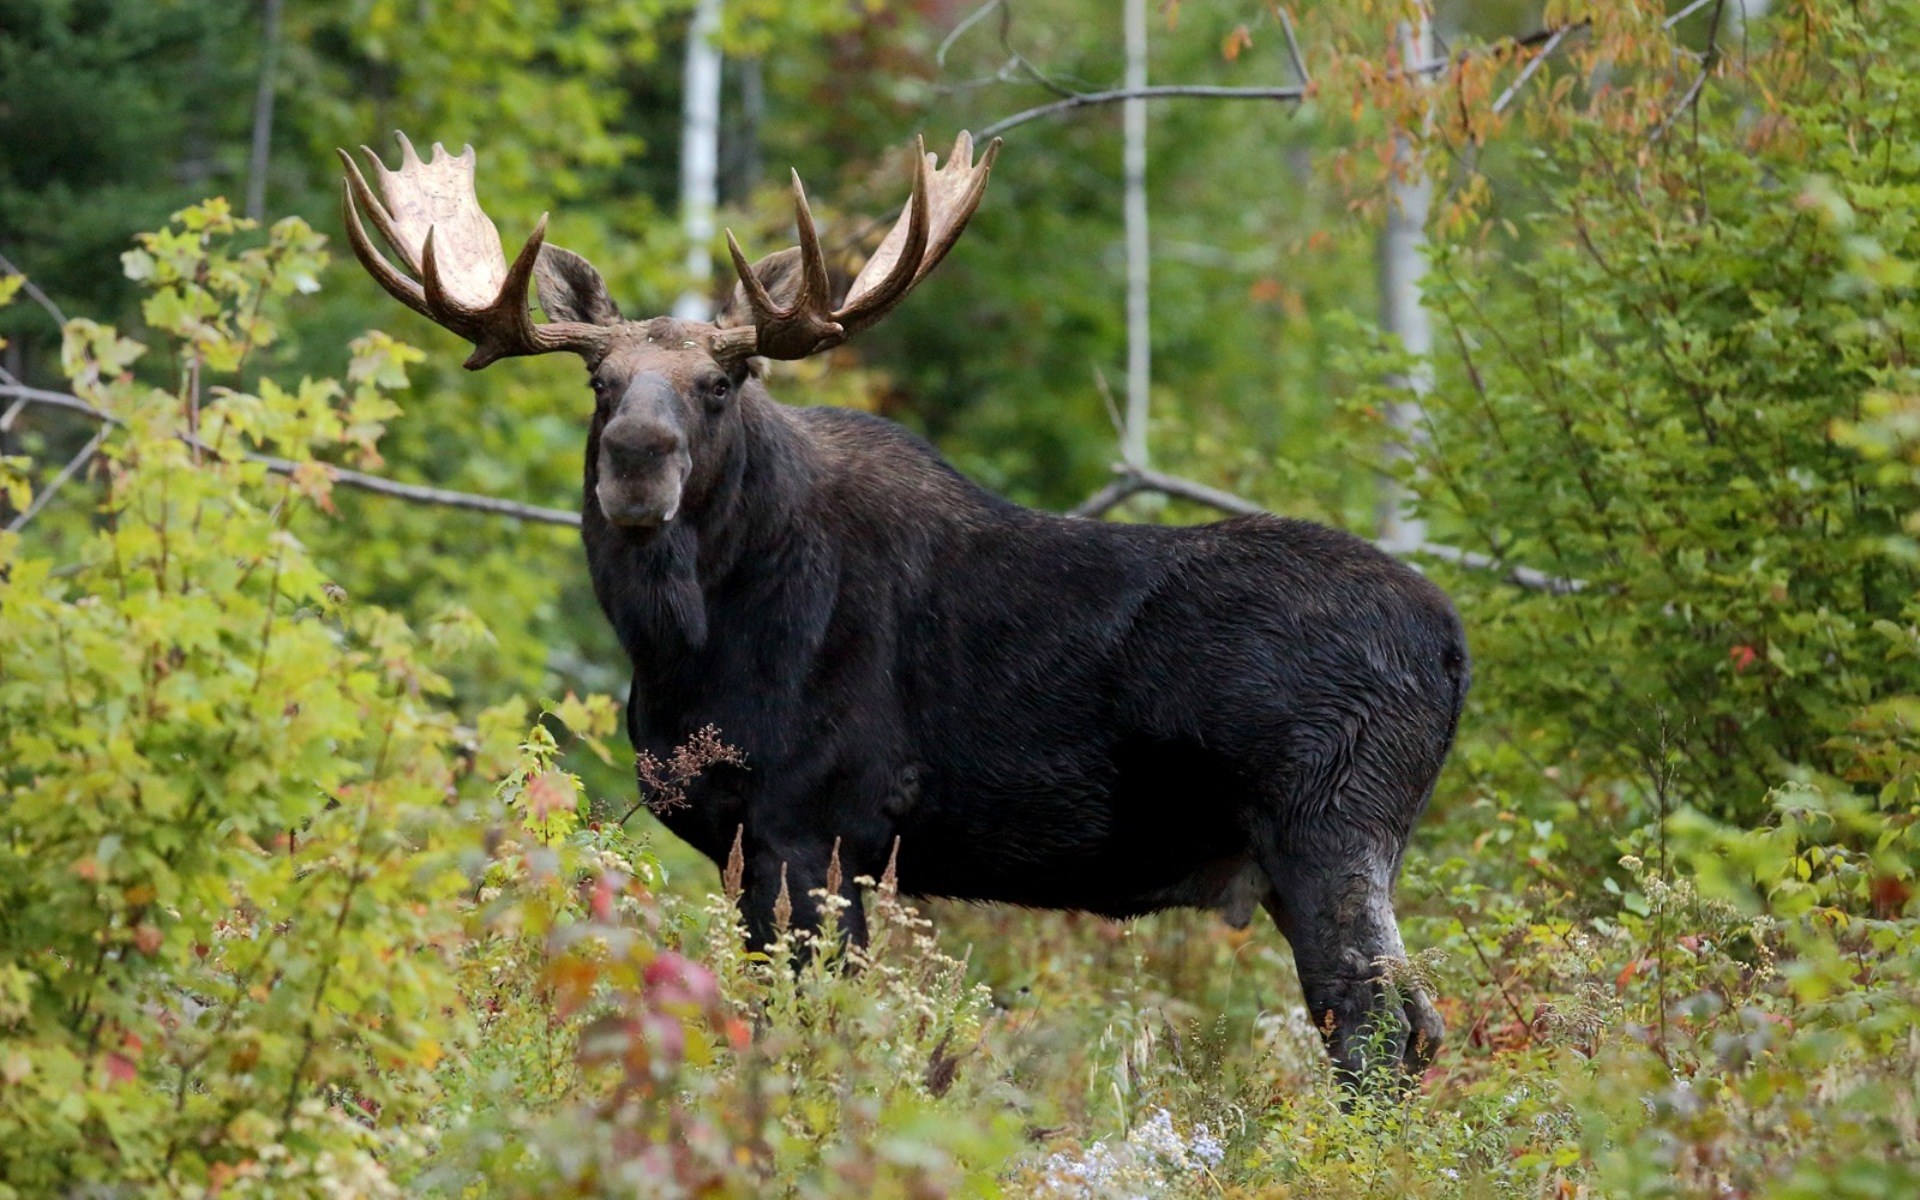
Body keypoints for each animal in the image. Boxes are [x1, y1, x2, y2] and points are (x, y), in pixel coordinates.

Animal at [337, 130, 1466, 1075]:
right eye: (598, 383)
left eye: (724, 382)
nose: (636, 457)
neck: (681, 650)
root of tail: (1456, 649)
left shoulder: (820, 823)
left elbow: (809, 1022)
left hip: (1329, 821)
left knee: (1377, 1025)